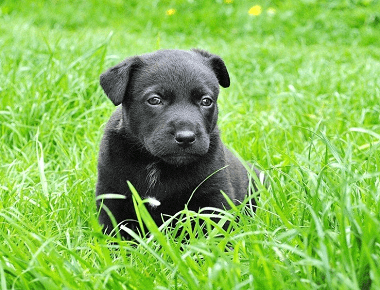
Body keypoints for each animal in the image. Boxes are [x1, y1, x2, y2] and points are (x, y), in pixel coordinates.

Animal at [96, 48, 260, 238]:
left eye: (206, 101)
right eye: (154, 100)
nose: (186, 137)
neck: (156, 164)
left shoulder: (214, 196)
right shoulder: (112, 196)